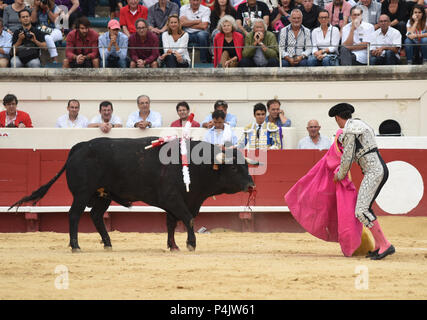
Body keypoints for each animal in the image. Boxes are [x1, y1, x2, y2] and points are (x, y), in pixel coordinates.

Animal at [9, 138, 258, 252]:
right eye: (234, 168)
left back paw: (108, 244)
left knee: (96, 216)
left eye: (246, 166)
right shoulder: (173, 199)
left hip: (103, 195)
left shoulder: (179, 202)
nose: (251, 185)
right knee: (74, 215)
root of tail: (79, 146)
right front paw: (190, 244)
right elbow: (188, 219)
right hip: (82, 193)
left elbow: (171, 223)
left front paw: (173, 246)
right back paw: (76, 246)